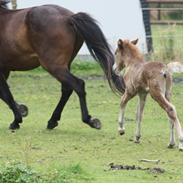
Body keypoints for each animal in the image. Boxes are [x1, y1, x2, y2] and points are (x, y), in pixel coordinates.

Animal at [0, 1, 124, 130]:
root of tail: (68, 18)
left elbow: (6, 94)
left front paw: (16, 120)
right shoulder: (5, 69)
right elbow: (4, 93)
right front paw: (22, 110)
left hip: (53, 65)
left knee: (78, 84)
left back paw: (89, 120)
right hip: (64, 65)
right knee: (67, 88)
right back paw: (52, 121)